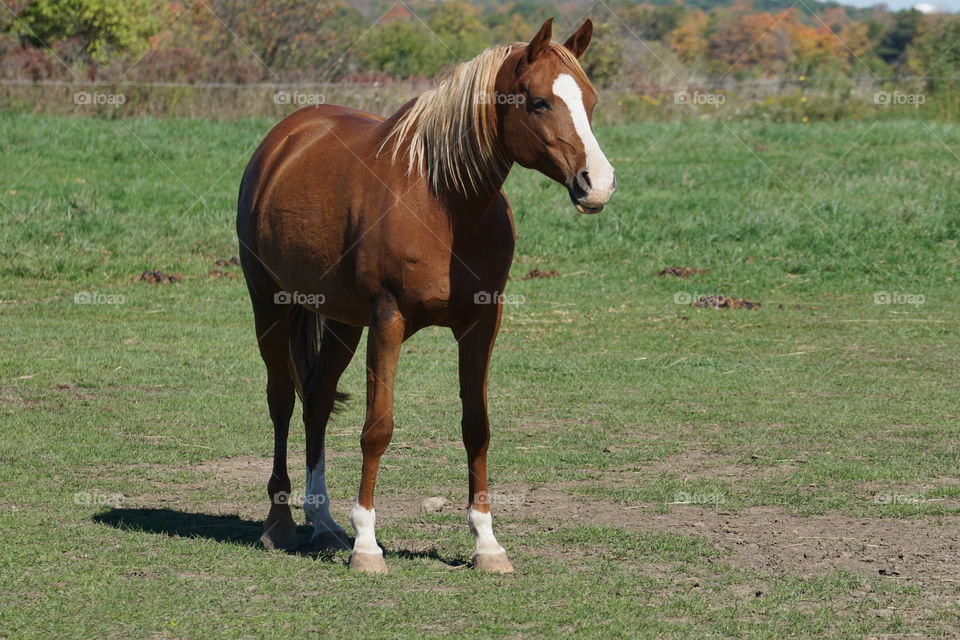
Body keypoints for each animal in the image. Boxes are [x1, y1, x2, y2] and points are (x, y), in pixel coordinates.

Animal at [236, 18, 615, 573]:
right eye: (539, 102)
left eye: (589, 101)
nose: (599, 184)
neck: (444, 203)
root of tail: (285, 138)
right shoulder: (387, 320)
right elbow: (377, 428)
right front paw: (367, 546)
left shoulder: (481, 324)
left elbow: (476, 426)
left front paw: (487, 544)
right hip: (270, 303)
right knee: (283, 399)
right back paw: (280, 523)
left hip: (342, 320)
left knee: (318, 400)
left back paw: (324, 524)